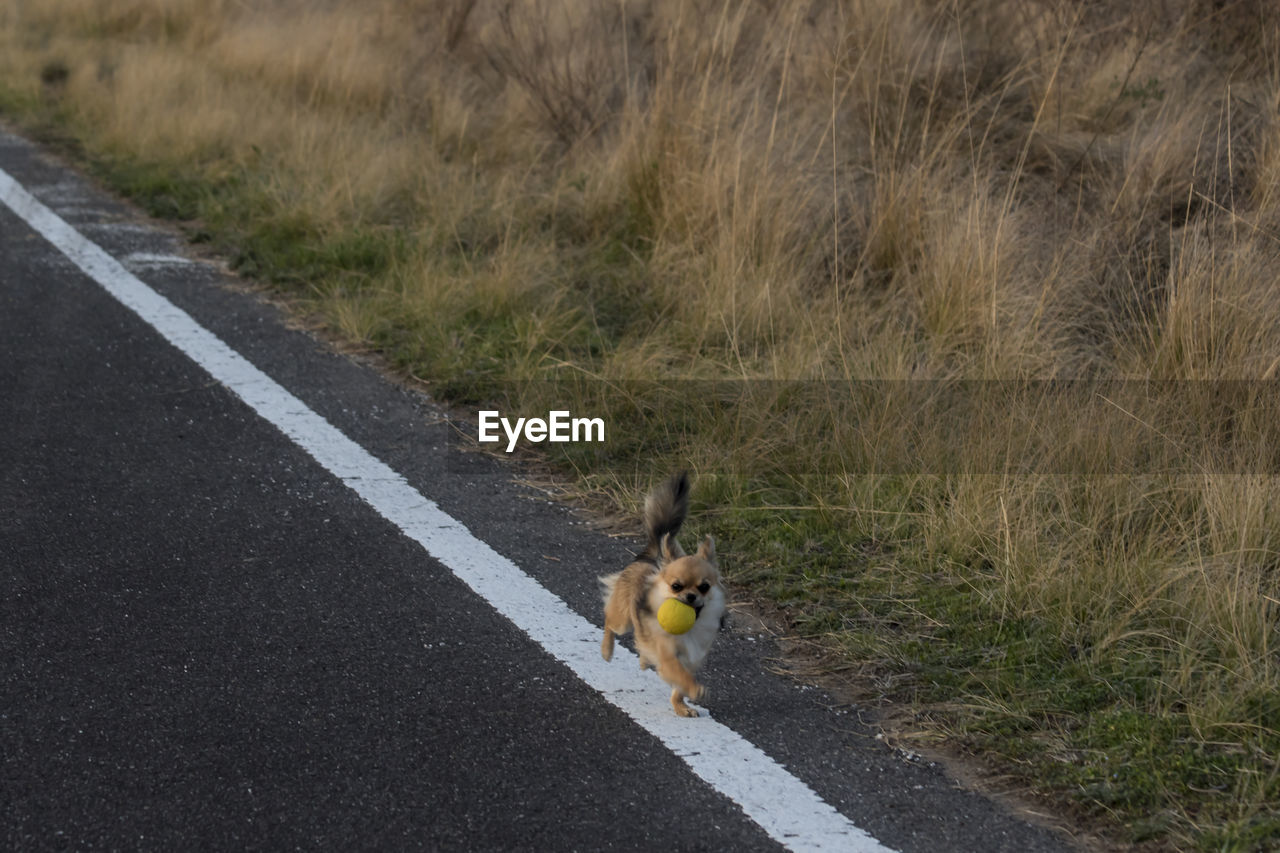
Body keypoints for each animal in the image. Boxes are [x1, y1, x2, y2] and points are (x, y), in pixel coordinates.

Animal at [596, 468, 727, 712]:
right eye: (676, 586)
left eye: (704, 587)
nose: (691, 596)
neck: (690, 630)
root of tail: (653, 555)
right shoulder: (669, 656)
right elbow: (681, 676)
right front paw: (695, 690)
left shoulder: (692, 658)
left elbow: (679, 686)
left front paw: (681, 706)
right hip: (623, 620)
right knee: (609, 621)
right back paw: (606, 650)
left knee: (642, 644)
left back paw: (643, 659)